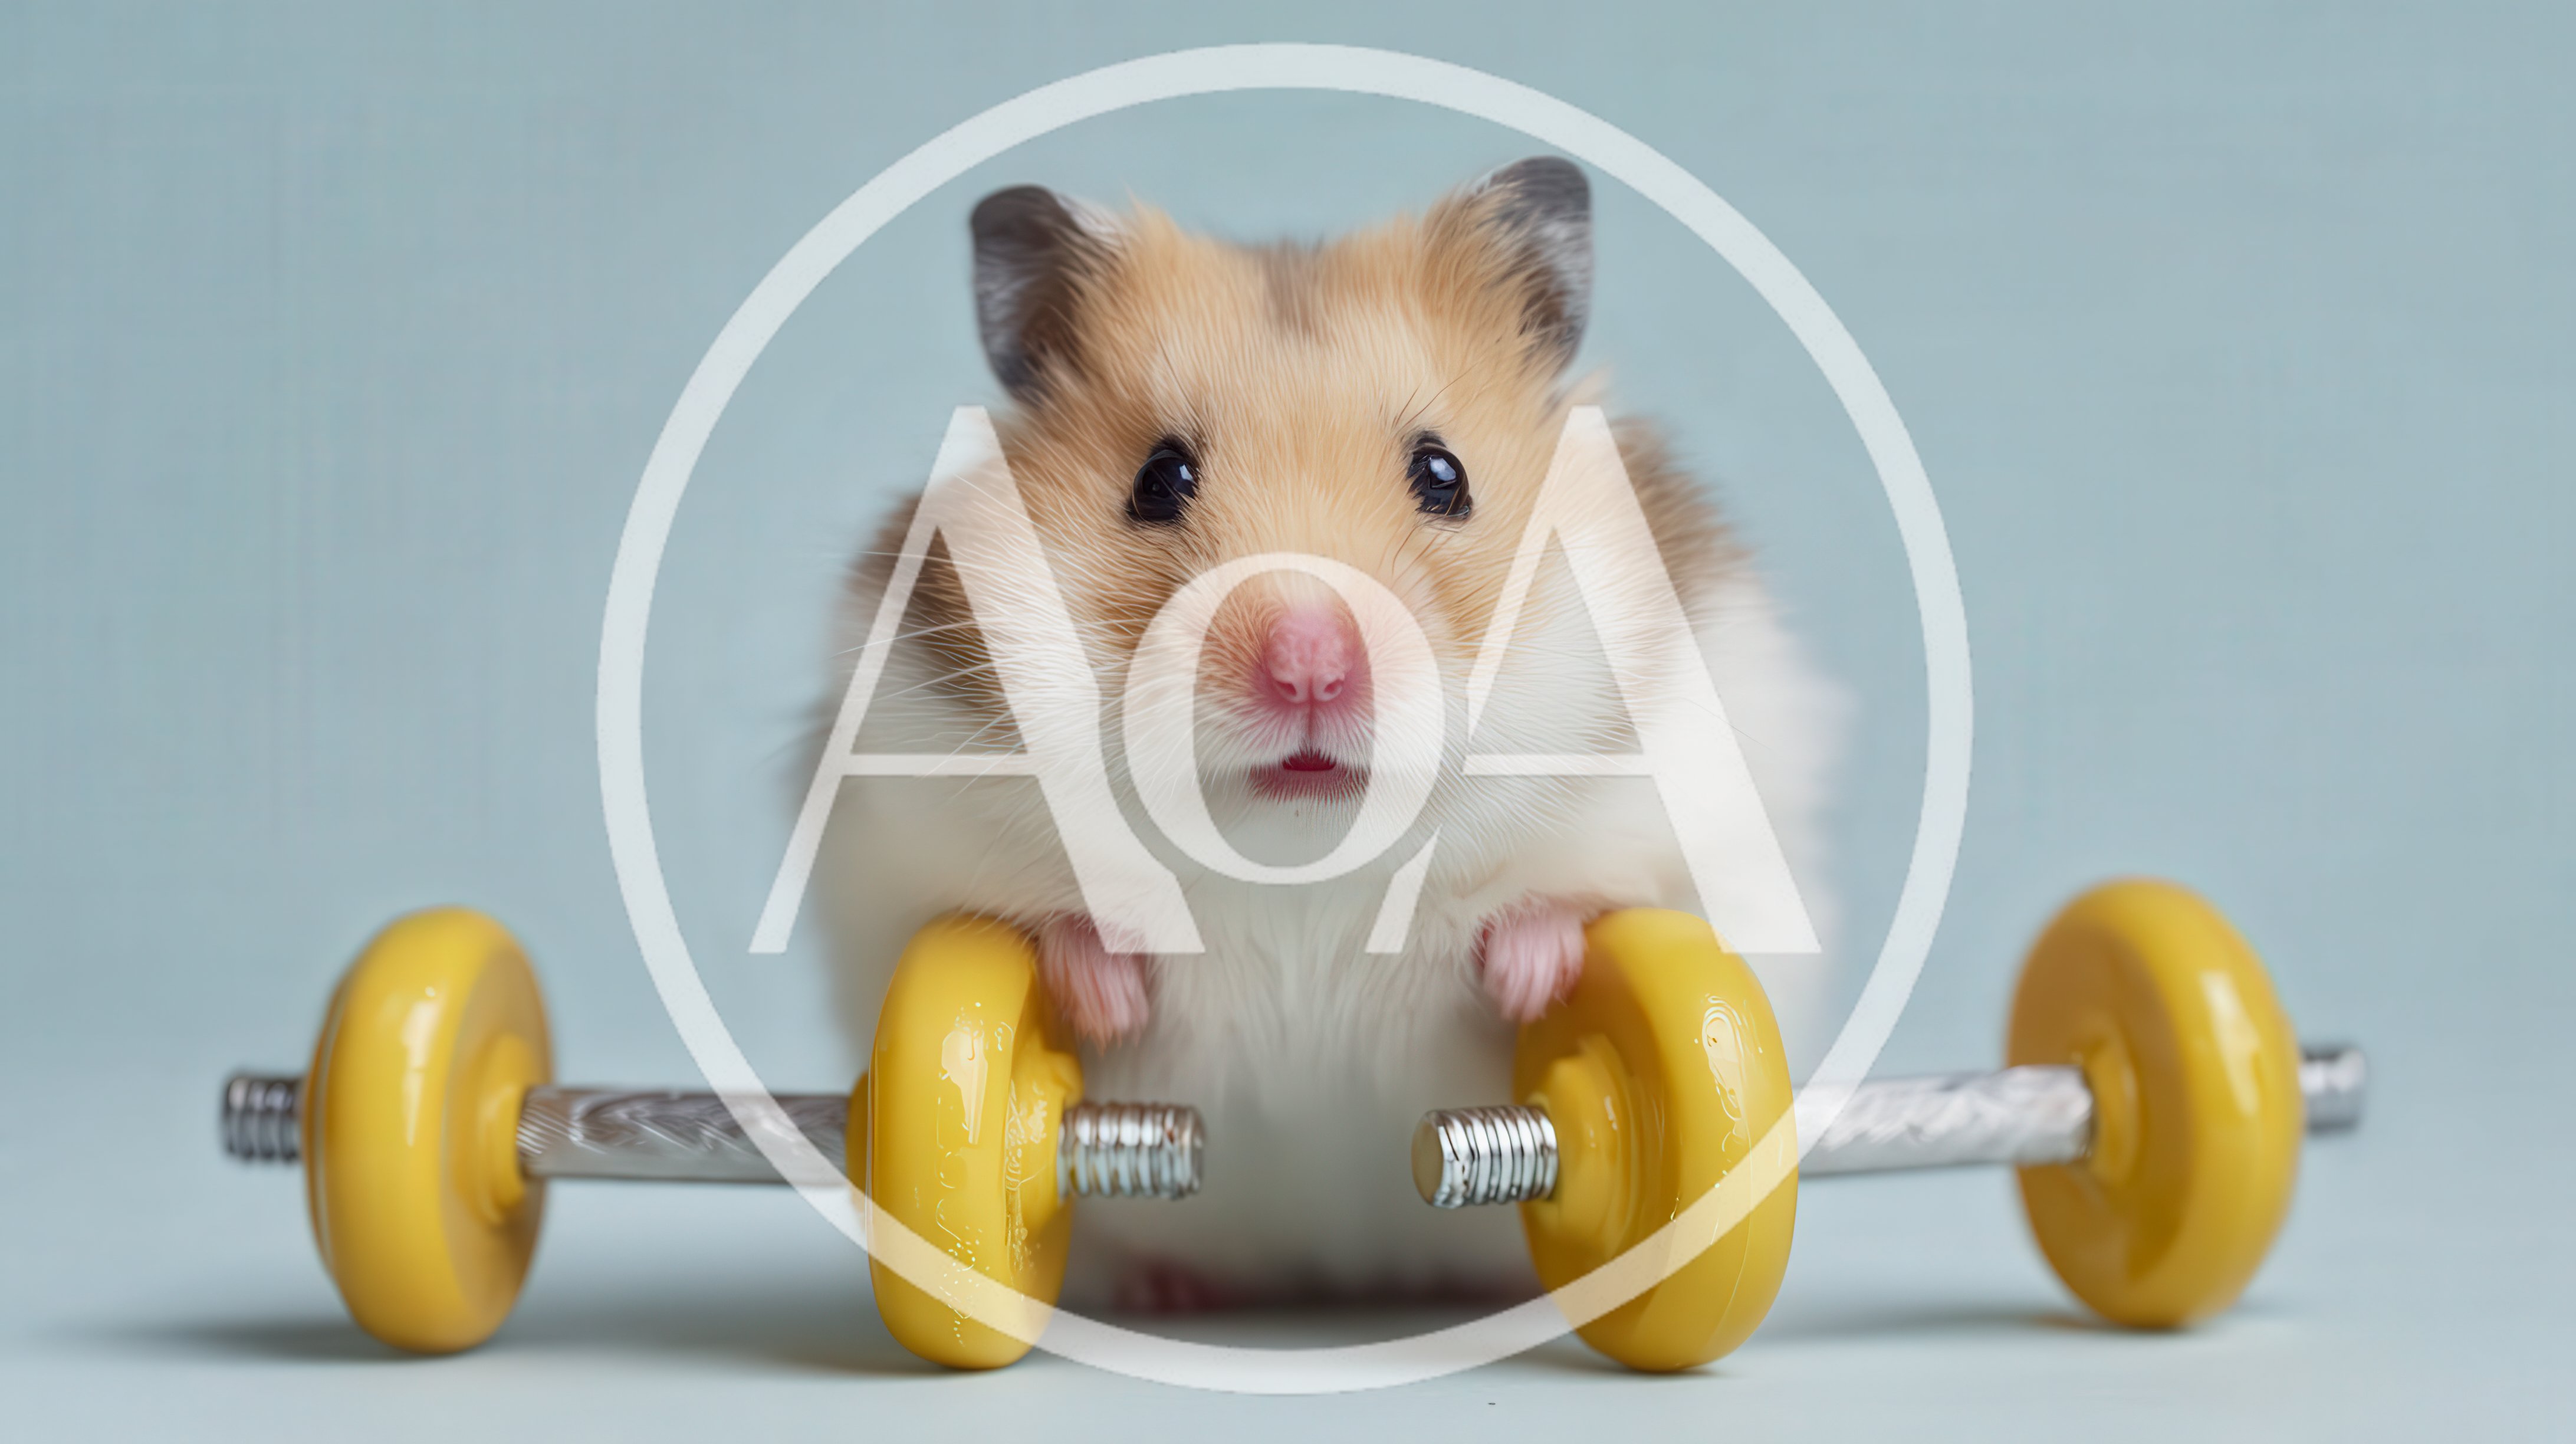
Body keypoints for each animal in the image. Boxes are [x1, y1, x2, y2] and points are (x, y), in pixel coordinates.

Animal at [812, 157, 1836, 1309]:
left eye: (1442, 474)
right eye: (1159, 478)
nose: (1307, 664)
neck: (1300, 859)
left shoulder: (1707, 812)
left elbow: (1588, 897)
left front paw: (1529, 969)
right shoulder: (899, 844)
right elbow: (1033, 924)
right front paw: (1107, 985)